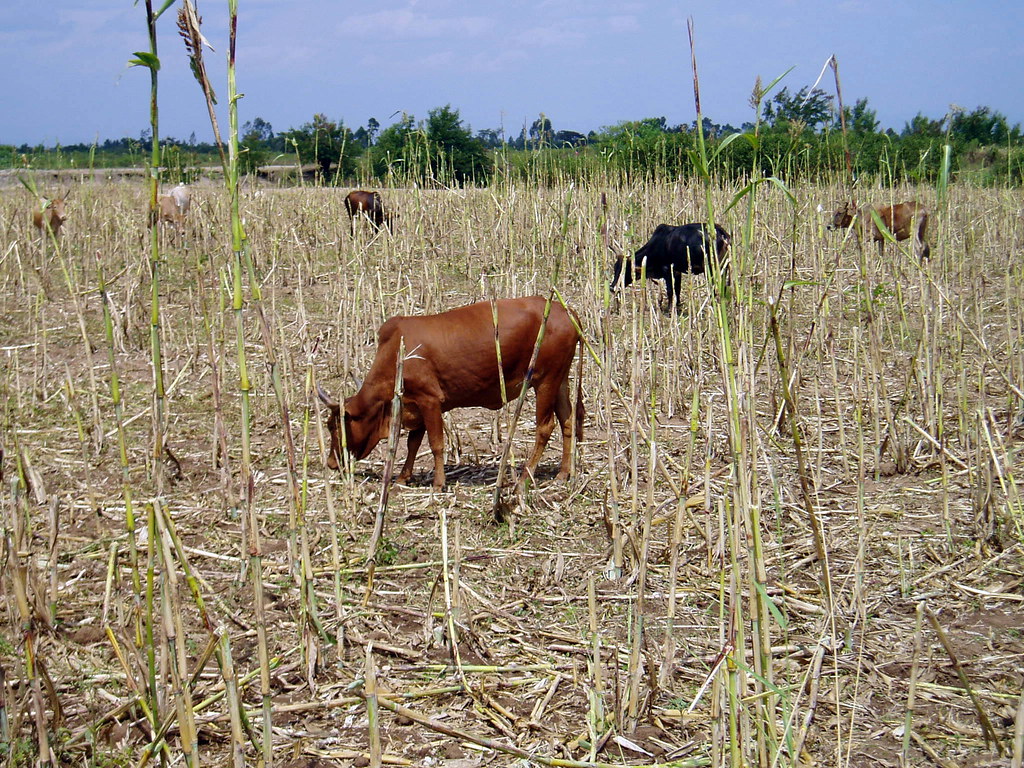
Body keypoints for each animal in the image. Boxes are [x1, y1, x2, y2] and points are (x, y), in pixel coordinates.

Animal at [318, 296, 584, 491]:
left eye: (333, 426)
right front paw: (403, 477)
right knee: (568, 421)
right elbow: (413, 443)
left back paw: (525, 477)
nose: (330, 463)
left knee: (545, 427)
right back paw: (563, 473)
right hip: (559, 380)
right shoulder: (414, 405)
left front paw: (438, 483)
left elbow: (435, 444)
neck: (396, 351)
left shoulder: (430, 400)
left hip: (545, 381)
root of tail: (565, 310)